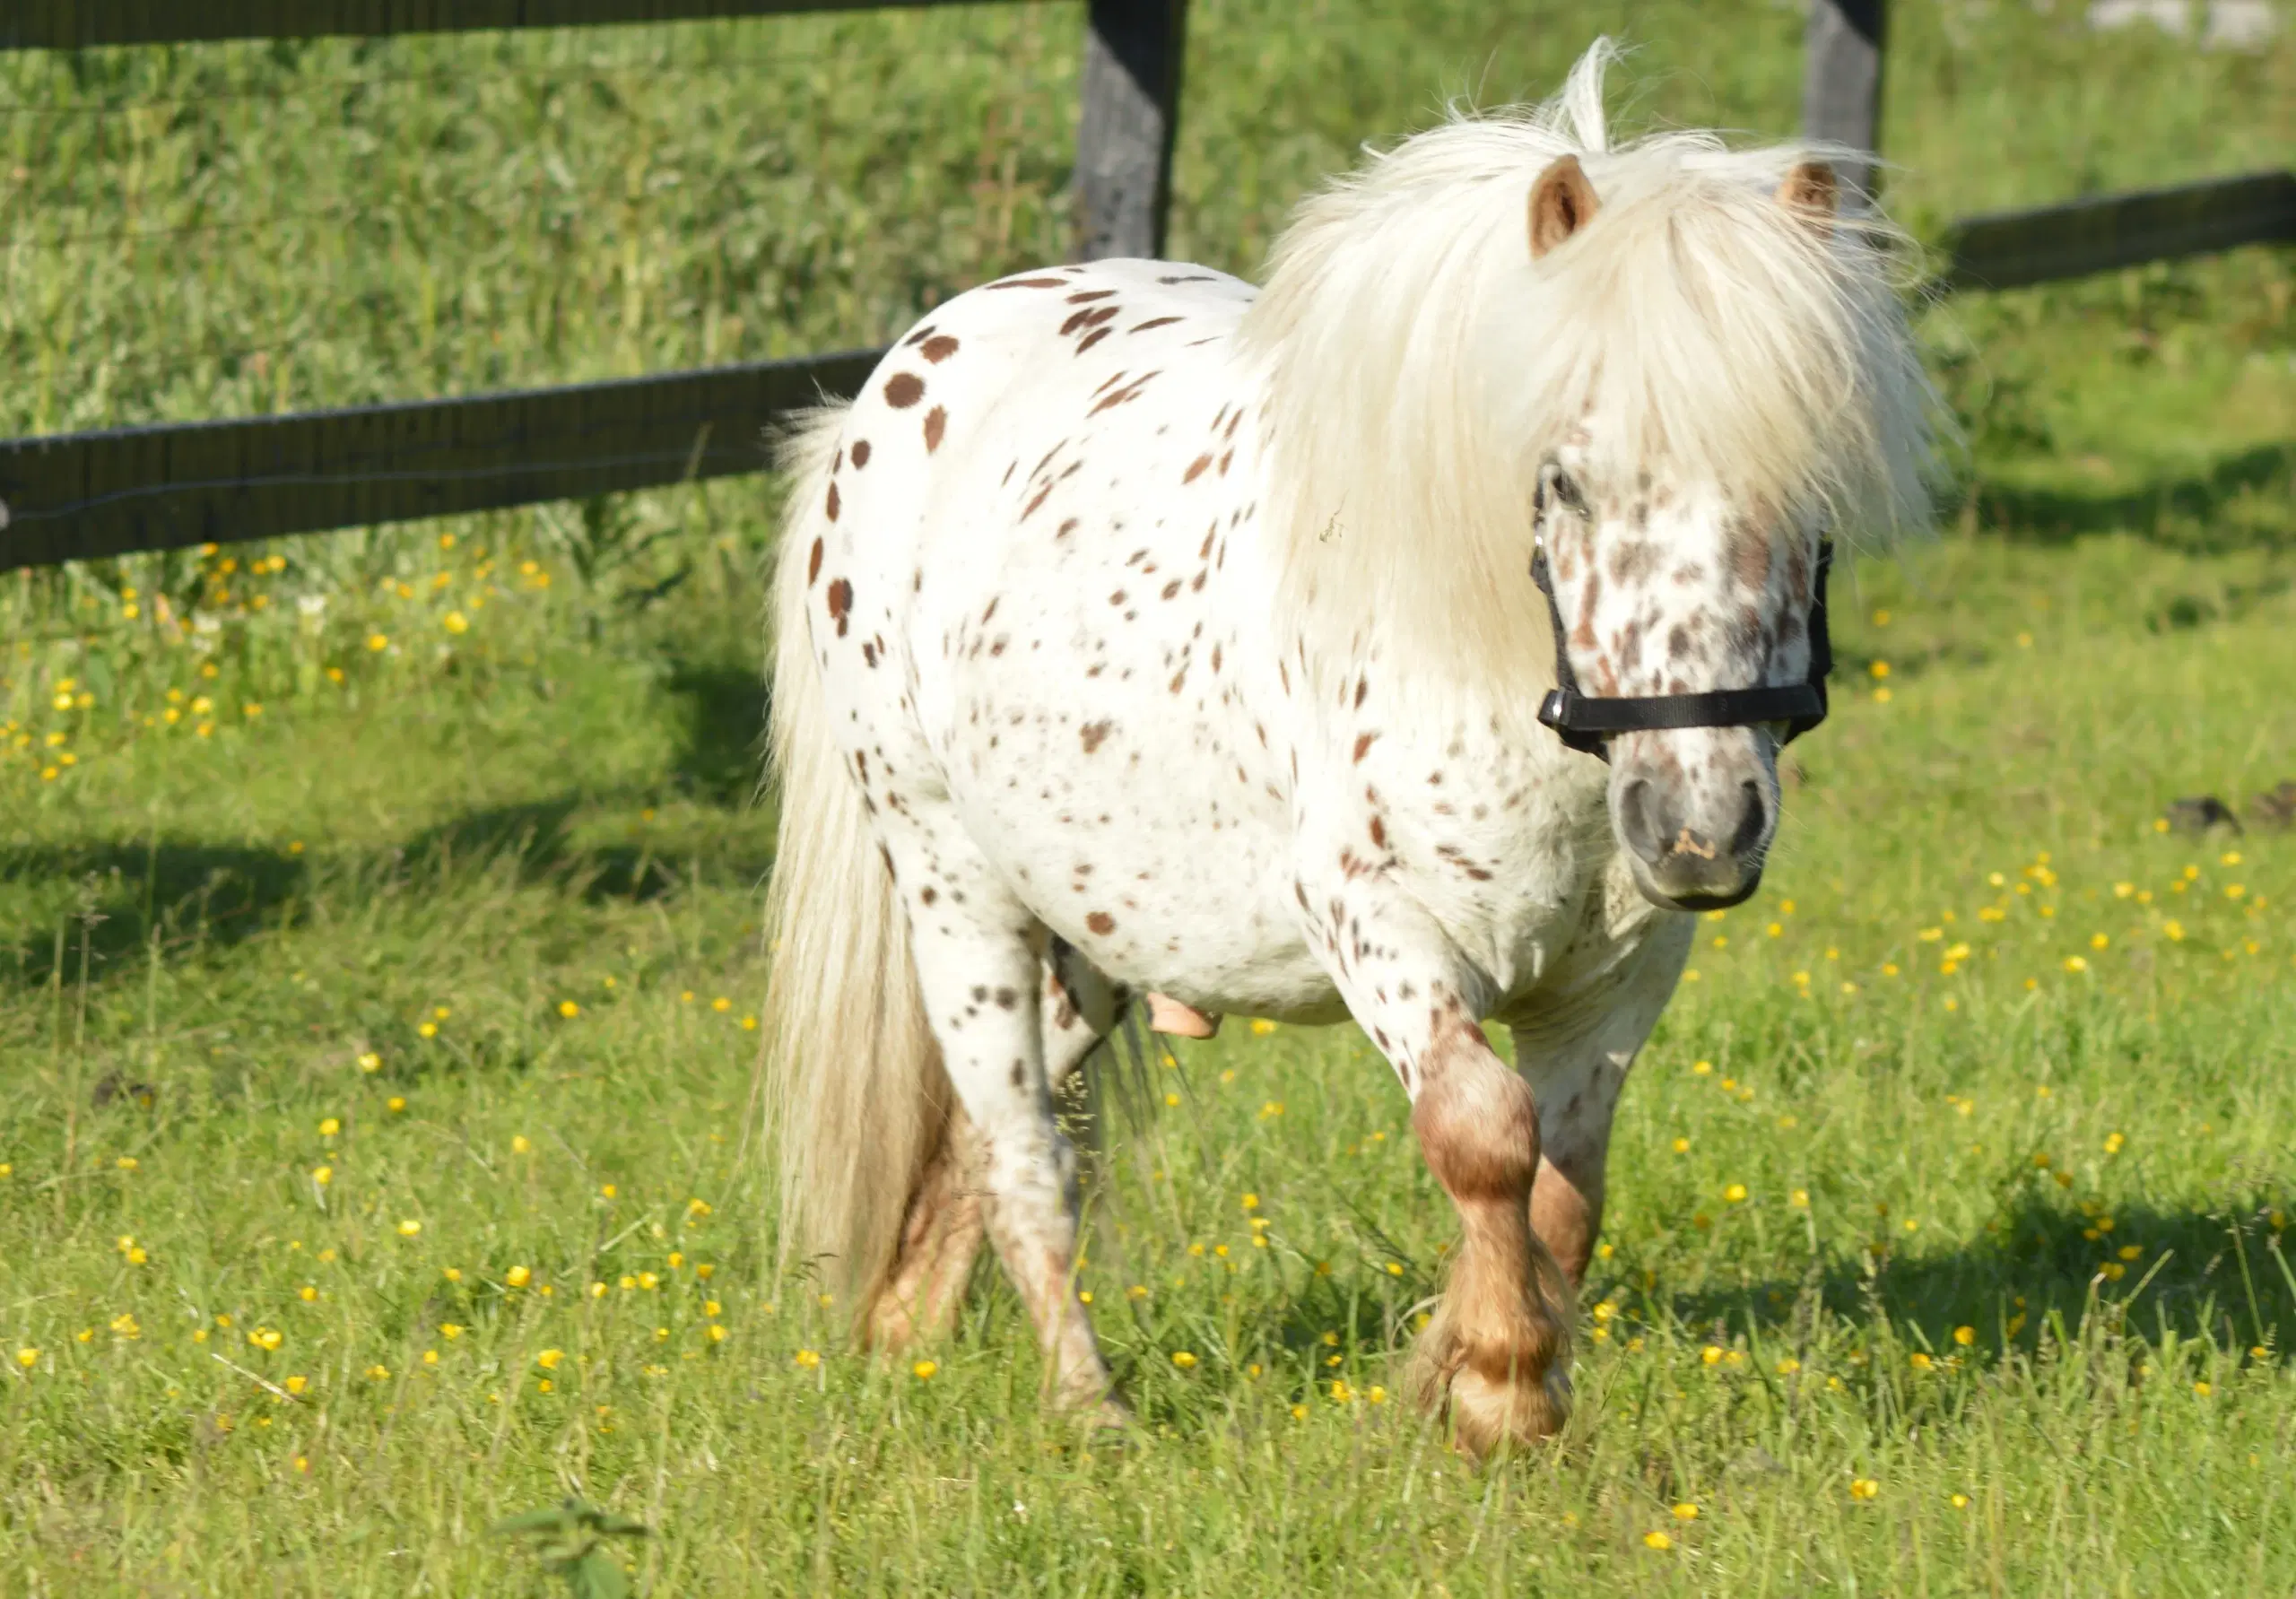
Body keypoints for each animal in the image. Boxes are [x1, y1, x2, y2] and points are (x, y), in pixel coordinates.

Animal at [771, 43, 1937, 1452]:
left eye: (1809, 489)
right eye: (1565, 480)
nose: (1700, 826)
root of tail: (895, 383)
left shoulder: (1621, 970)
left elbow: (1567, 1189)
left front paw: (1470, 1367)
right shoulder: (1373, 915)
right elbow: (1483, 1135)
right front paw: (1497, 1387)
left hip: (1094, 938)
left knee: (987, 1137)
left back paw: (902, 1339)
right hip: (954, 889)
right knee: (1020, 1149)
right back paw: (1092, 1408)